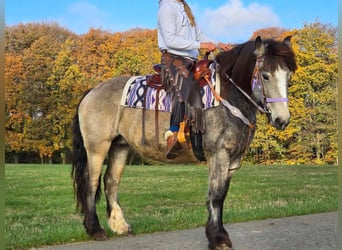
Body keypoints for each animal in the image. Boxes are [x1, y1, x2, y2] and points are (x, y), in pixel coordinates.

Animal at [71, 35, 296, 250]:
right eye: (265, 75)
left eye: (288, 76)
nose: (282, 120)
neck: (228, 98)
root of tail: (92, 91)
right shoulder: (219, 155)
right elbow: (216, 196)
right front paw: (218, 238)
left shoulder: (232, 161)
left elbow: (221, 195)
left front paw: (218, 234)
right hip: (97, 147)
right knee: (91, 183)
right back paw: (95, 230)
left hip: (120, 147)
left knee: (111, 181)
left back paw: (120, 225)